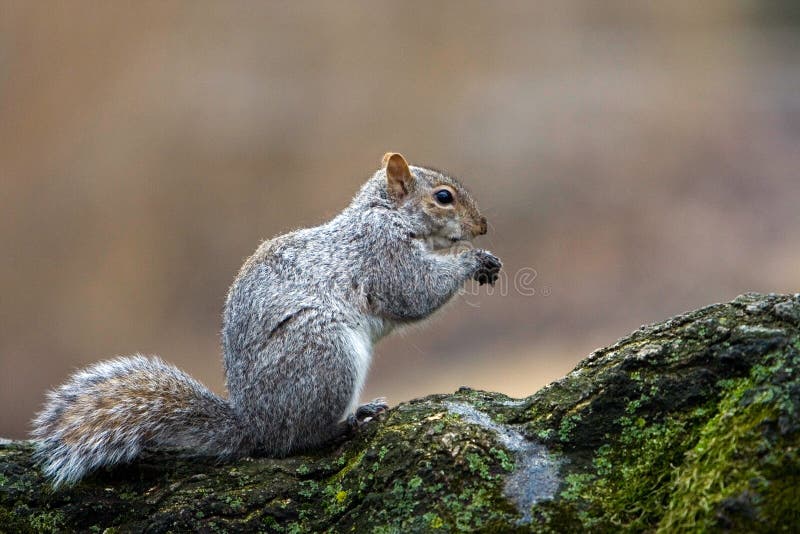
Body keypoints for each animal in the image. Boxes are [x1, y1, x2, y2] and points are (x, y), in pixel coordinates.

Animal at [31, 153, 502, 487]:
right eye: (443, 197)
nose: (483, 225)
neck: (387, 214)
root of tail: (256, 425)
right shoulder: (381, 253)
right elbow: (414, 292)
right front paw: (473, 260)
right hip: (324, 355)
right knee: (298, 440)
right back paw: (346, 424)